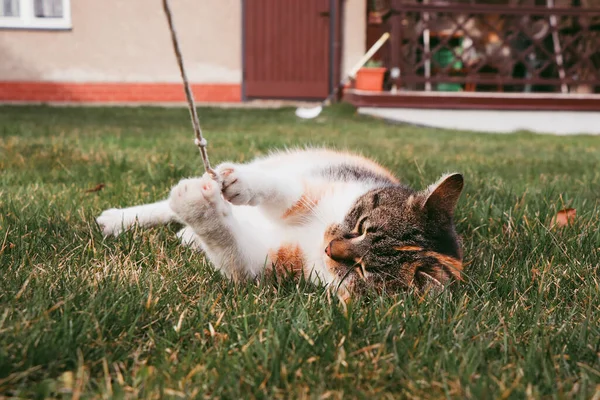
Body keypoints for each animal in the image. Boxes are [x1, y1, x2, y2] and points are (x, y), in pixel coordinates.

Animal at [98, 148, 464, 298]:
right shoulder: (316, 185)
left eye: (362, 270)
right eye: (362, 224)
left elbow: (234, 255)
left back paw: (189, 234)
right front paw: (239, 184)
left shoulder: (268, 264)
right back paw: (117, 220)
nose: (330, 247)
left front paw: (200, 211)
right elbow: (287, 193)